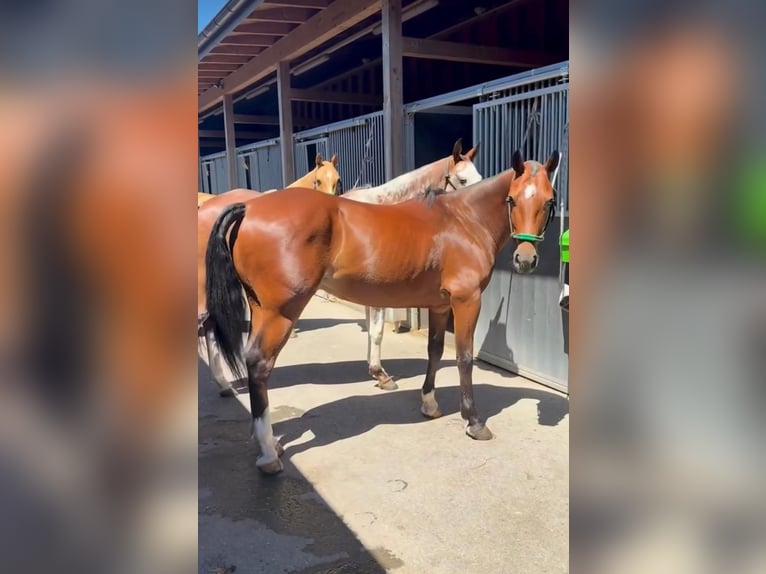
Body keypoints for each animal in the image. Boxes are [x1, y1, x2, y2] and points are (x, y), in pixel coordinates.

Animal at [198, 139, 481, 395]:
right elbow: (377, 331)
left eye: (478, 176)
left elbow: (371, 330)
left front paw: (374, 370)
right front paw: (381, 374)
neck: (388, 205)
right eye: (462, 180)